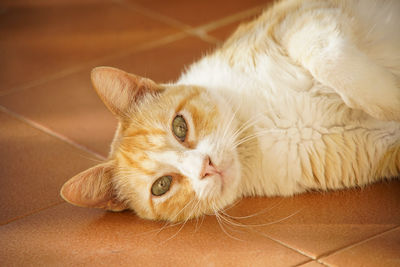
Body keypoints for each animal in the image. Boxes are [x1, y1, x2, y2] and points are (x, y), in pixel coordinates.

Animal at [60, 0, 400, 223]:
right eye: (161, 186)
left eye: (179, 127)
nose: (206, 166)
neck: (259, 131)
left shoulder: (304, 17)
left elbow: (327, 59)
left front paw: (390, 96)